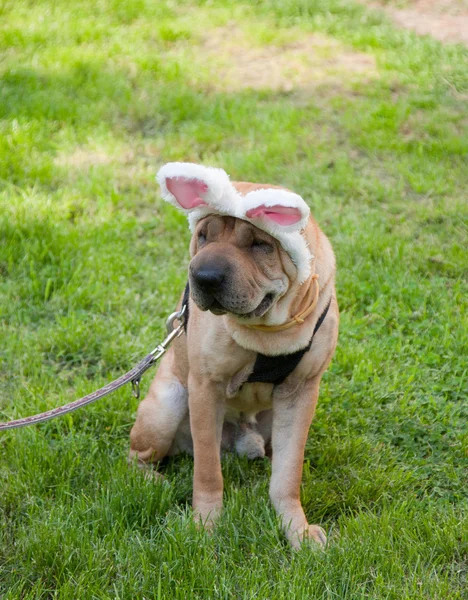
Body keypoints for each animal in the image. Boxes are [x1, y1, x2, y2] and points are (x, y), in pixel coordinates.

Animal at [130, 163, 338, 548]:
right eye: (203, 236)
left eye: (260, 245)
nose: (204, 276)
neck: (268, 334)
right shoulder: (205, 387)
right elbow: (208, 471)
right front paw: (205, 526)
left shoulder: (300, 392)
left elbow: (288, 474)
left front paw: (297, 531)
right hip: (166, 405)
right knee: (138, 456)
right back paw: (154, 483)